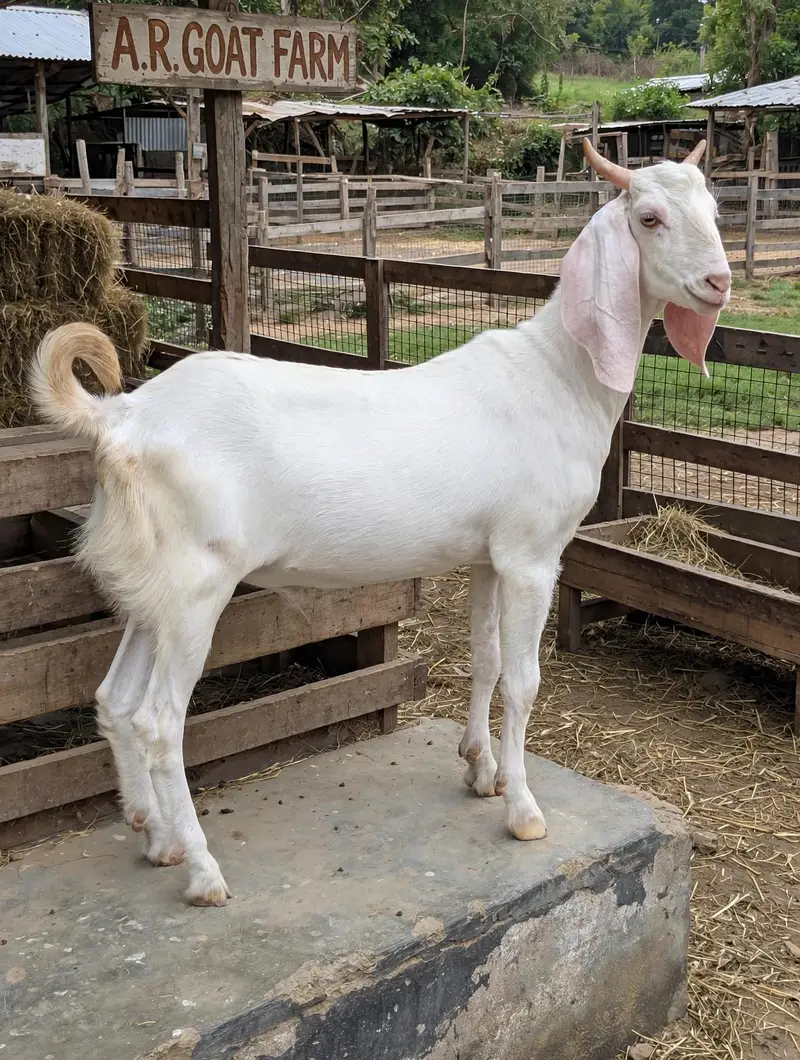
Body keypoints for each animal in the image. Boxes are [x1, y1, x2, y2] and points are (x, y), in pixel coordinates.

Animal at [30, 139, 730, 907]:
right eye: (650, 217)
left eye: (715, 208)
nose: (719, 282)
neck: (558, 375)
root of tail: (121, 417)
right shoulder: (531, 555)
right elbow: (522, 680)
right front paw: (523, 809)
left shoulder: (489, 554)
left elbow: (484, 658)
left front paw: (480, 770)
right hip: (195, 587)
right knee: (158, 720)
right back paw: (203, 870)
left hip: (153, 585)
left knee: (115, 700)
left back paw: (155, 838)